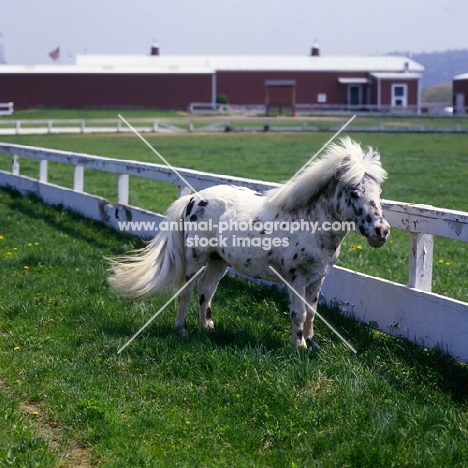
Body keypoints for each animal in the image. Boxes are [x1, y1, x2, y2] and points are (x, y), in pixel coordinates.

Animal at [108, 135, 390, 348]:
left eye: (379, 191)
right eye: (353, 191)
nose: (381, 231)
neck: (310, 224)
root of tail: (192, 199)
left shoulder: (317, 278)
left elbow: (311, 312)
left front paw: (313, 344)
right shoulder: (296, 278)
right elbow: (298, 312)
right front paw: (299, 346)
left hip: (218, 261)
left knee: (205, 290)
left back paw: (208, 328)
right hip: (195, 260)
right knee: (186, 292)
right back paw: (182, 330)